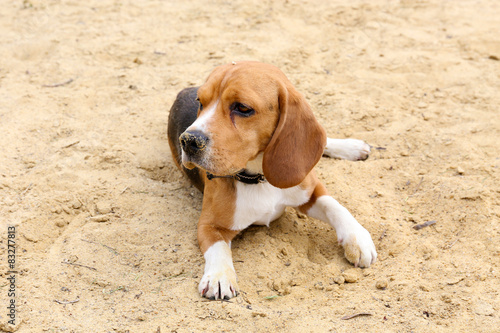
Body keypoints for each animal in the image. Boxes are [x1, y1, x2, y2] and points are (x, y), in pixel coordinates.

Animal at [167, 61, 376, 300]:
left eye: (243, 108)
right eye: (200, 103)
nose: (188, 140)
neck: (260, 178)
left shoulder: (310, 190)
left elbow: (335, 206)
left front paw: (357, 237)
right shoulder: (209, 224)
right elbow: (218, 249)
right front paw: (218, 276)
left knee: (324, 140)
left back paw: (351, 147)